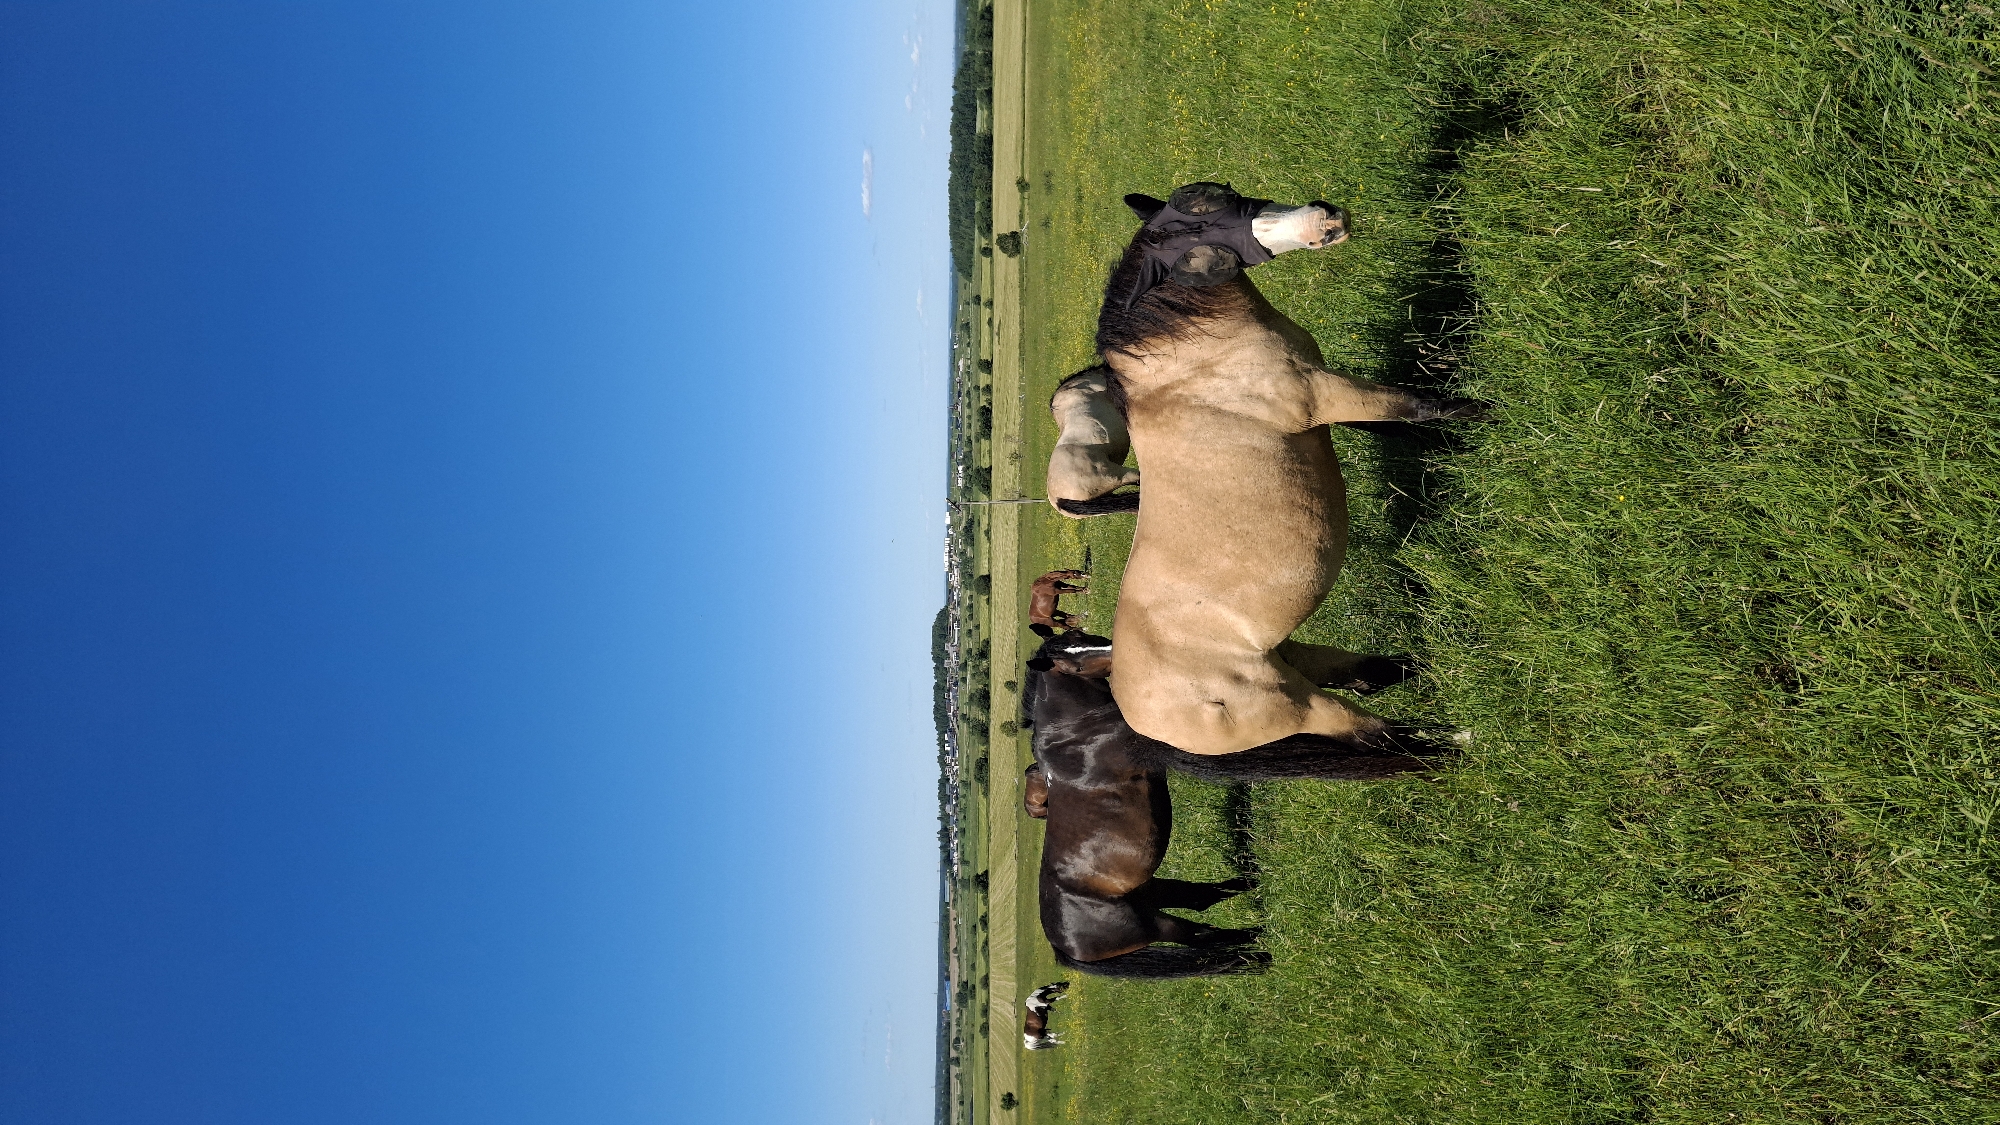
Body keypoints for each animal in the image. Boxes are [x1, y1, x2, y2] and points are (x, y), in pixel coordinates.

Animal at [1092, 182, 1483, 757]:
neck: (1193, 365)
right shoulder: (1327, 394)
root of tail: (1140, 716)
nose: (1326, 218)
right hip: (1302, 707)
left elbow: (1399, 423)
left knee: (1367, 674)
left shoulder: (1327, 405)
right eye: (1202, 234)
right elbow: (1418, 406)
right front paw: (1492, 416)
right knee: (1383, 740)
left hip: (1292, 657)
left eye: (1219, 195)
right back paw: (1459, 745)